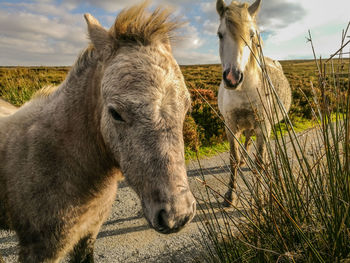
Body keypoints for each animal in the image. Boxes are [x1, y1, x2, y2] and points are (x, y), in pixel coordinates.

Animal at [216, 0, 292, 206]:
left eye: (251, 34)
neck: (244, 91)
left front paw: (258, 197)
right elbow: (233, 159)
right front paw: (230, 194)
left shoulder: (263, 126)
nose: (232, 78)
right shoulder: (231, 125)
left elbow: (258, 162)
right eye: (220, 34)